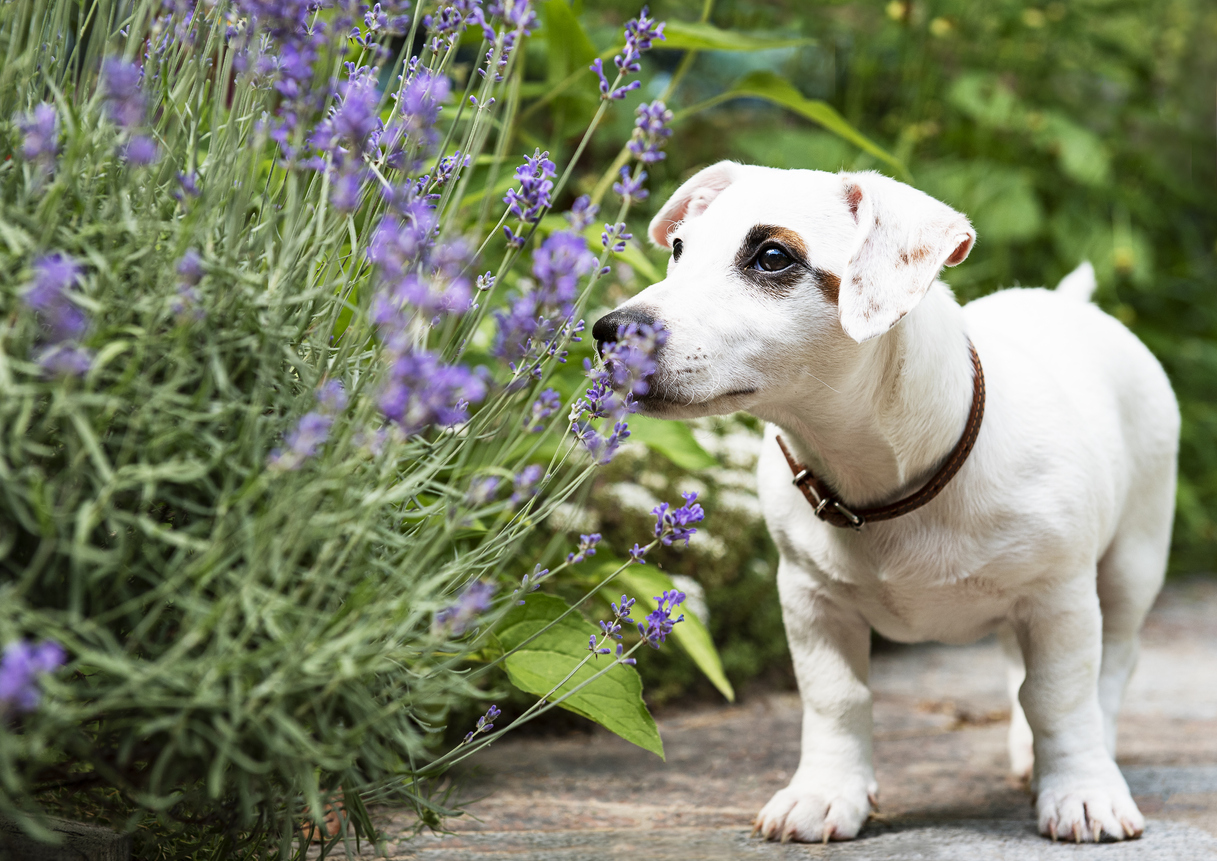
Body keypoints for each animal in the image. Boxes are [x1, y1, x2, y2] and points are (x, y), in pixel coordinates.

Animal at [591, 161, 1178, 842]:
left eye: (772, 257)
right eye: (680, 249)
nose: (611, 331)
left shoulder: (1058, 598)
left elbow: (1061, 695)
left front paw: (1081, 791)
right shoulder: (811, 600)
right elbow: (836, 697)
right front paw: (824, 793)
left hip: (1132, 563)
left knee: (1112, 666)